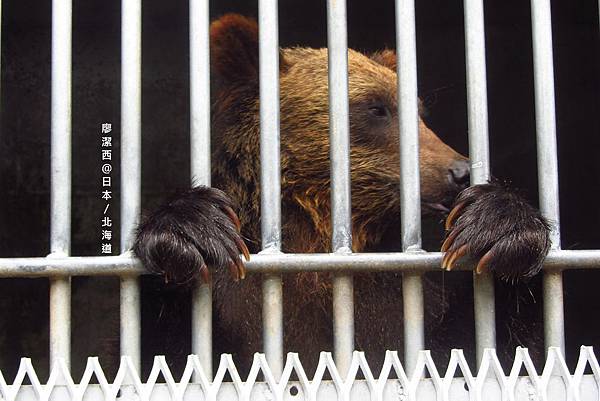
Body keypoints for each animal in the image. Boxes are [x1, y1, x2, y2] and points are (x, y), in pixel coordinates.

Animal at [134, 14, 552, 372]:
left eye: (419, 112)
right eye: (377, 108)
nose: (460, 172)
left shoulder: (404, 303)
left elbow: (494, 350)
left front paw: (498, 225)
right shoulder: (234, 302)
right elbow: (166, 354)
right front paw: (191, 230)